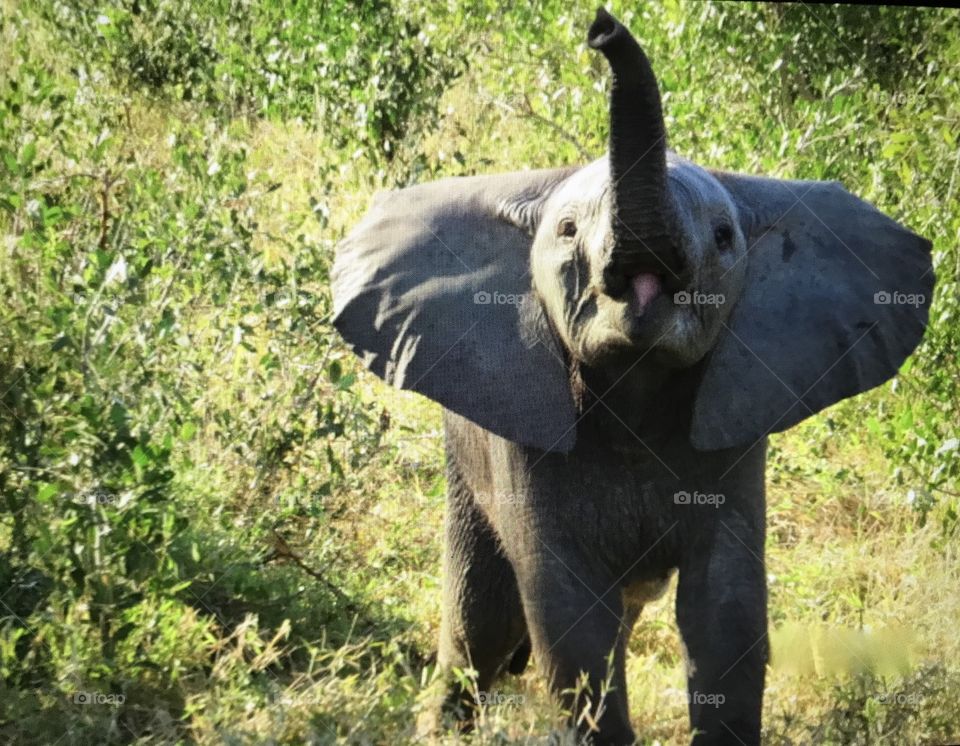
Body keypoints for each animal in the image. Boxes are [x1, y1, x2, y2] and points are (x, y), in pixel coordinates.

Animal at [331, 8, 933, 745]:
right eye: (565, 231)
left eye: (725, 238)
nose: (601, 27)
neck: (636, 379)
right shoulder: (525, 427)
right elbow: (565, 612)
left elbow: (725, 606)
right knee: (484, 618)